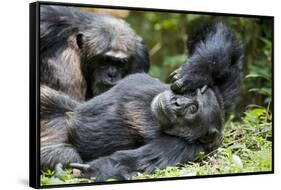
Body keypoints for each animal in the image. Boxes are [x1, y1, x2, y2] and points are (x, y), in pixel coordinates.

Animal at [40, 22, 242, 181]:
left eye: (193, 109)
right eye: (192, 95)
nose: (177, 102)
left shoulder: (184, 148)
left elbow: (137, 162)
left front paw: (98, 170)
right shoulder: (219, 93)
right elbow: (219, 42)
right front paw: (196, 71)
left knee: (68, 154)